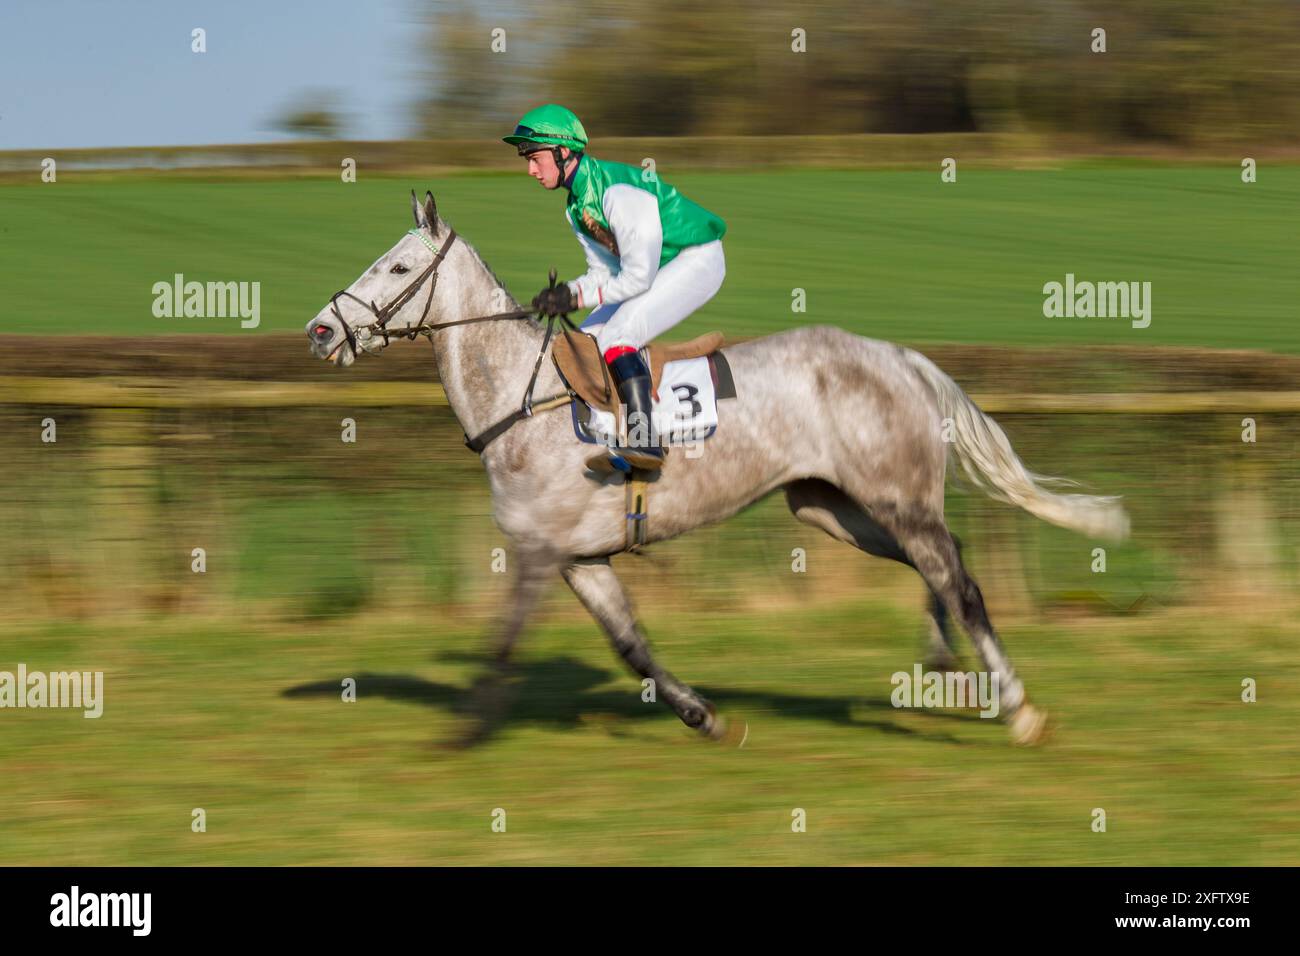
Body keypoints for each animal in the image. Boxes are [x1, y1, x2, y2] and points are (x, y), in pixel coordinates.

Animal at [304, 191, 1128, 749]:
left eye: (398, 266)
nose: (320, 331)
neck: (522, 400)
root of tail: (902, 357)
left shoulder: (539, 553)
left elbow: (504, 643)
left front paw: (462, 734)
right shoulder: (580, 558)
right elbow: (631, 644)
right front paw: (703, 716)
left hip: (892, 499)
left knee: (961, 582)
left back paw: (1019, 707)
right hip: (832, 507)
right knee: (944, 565)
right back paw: (941, 661)